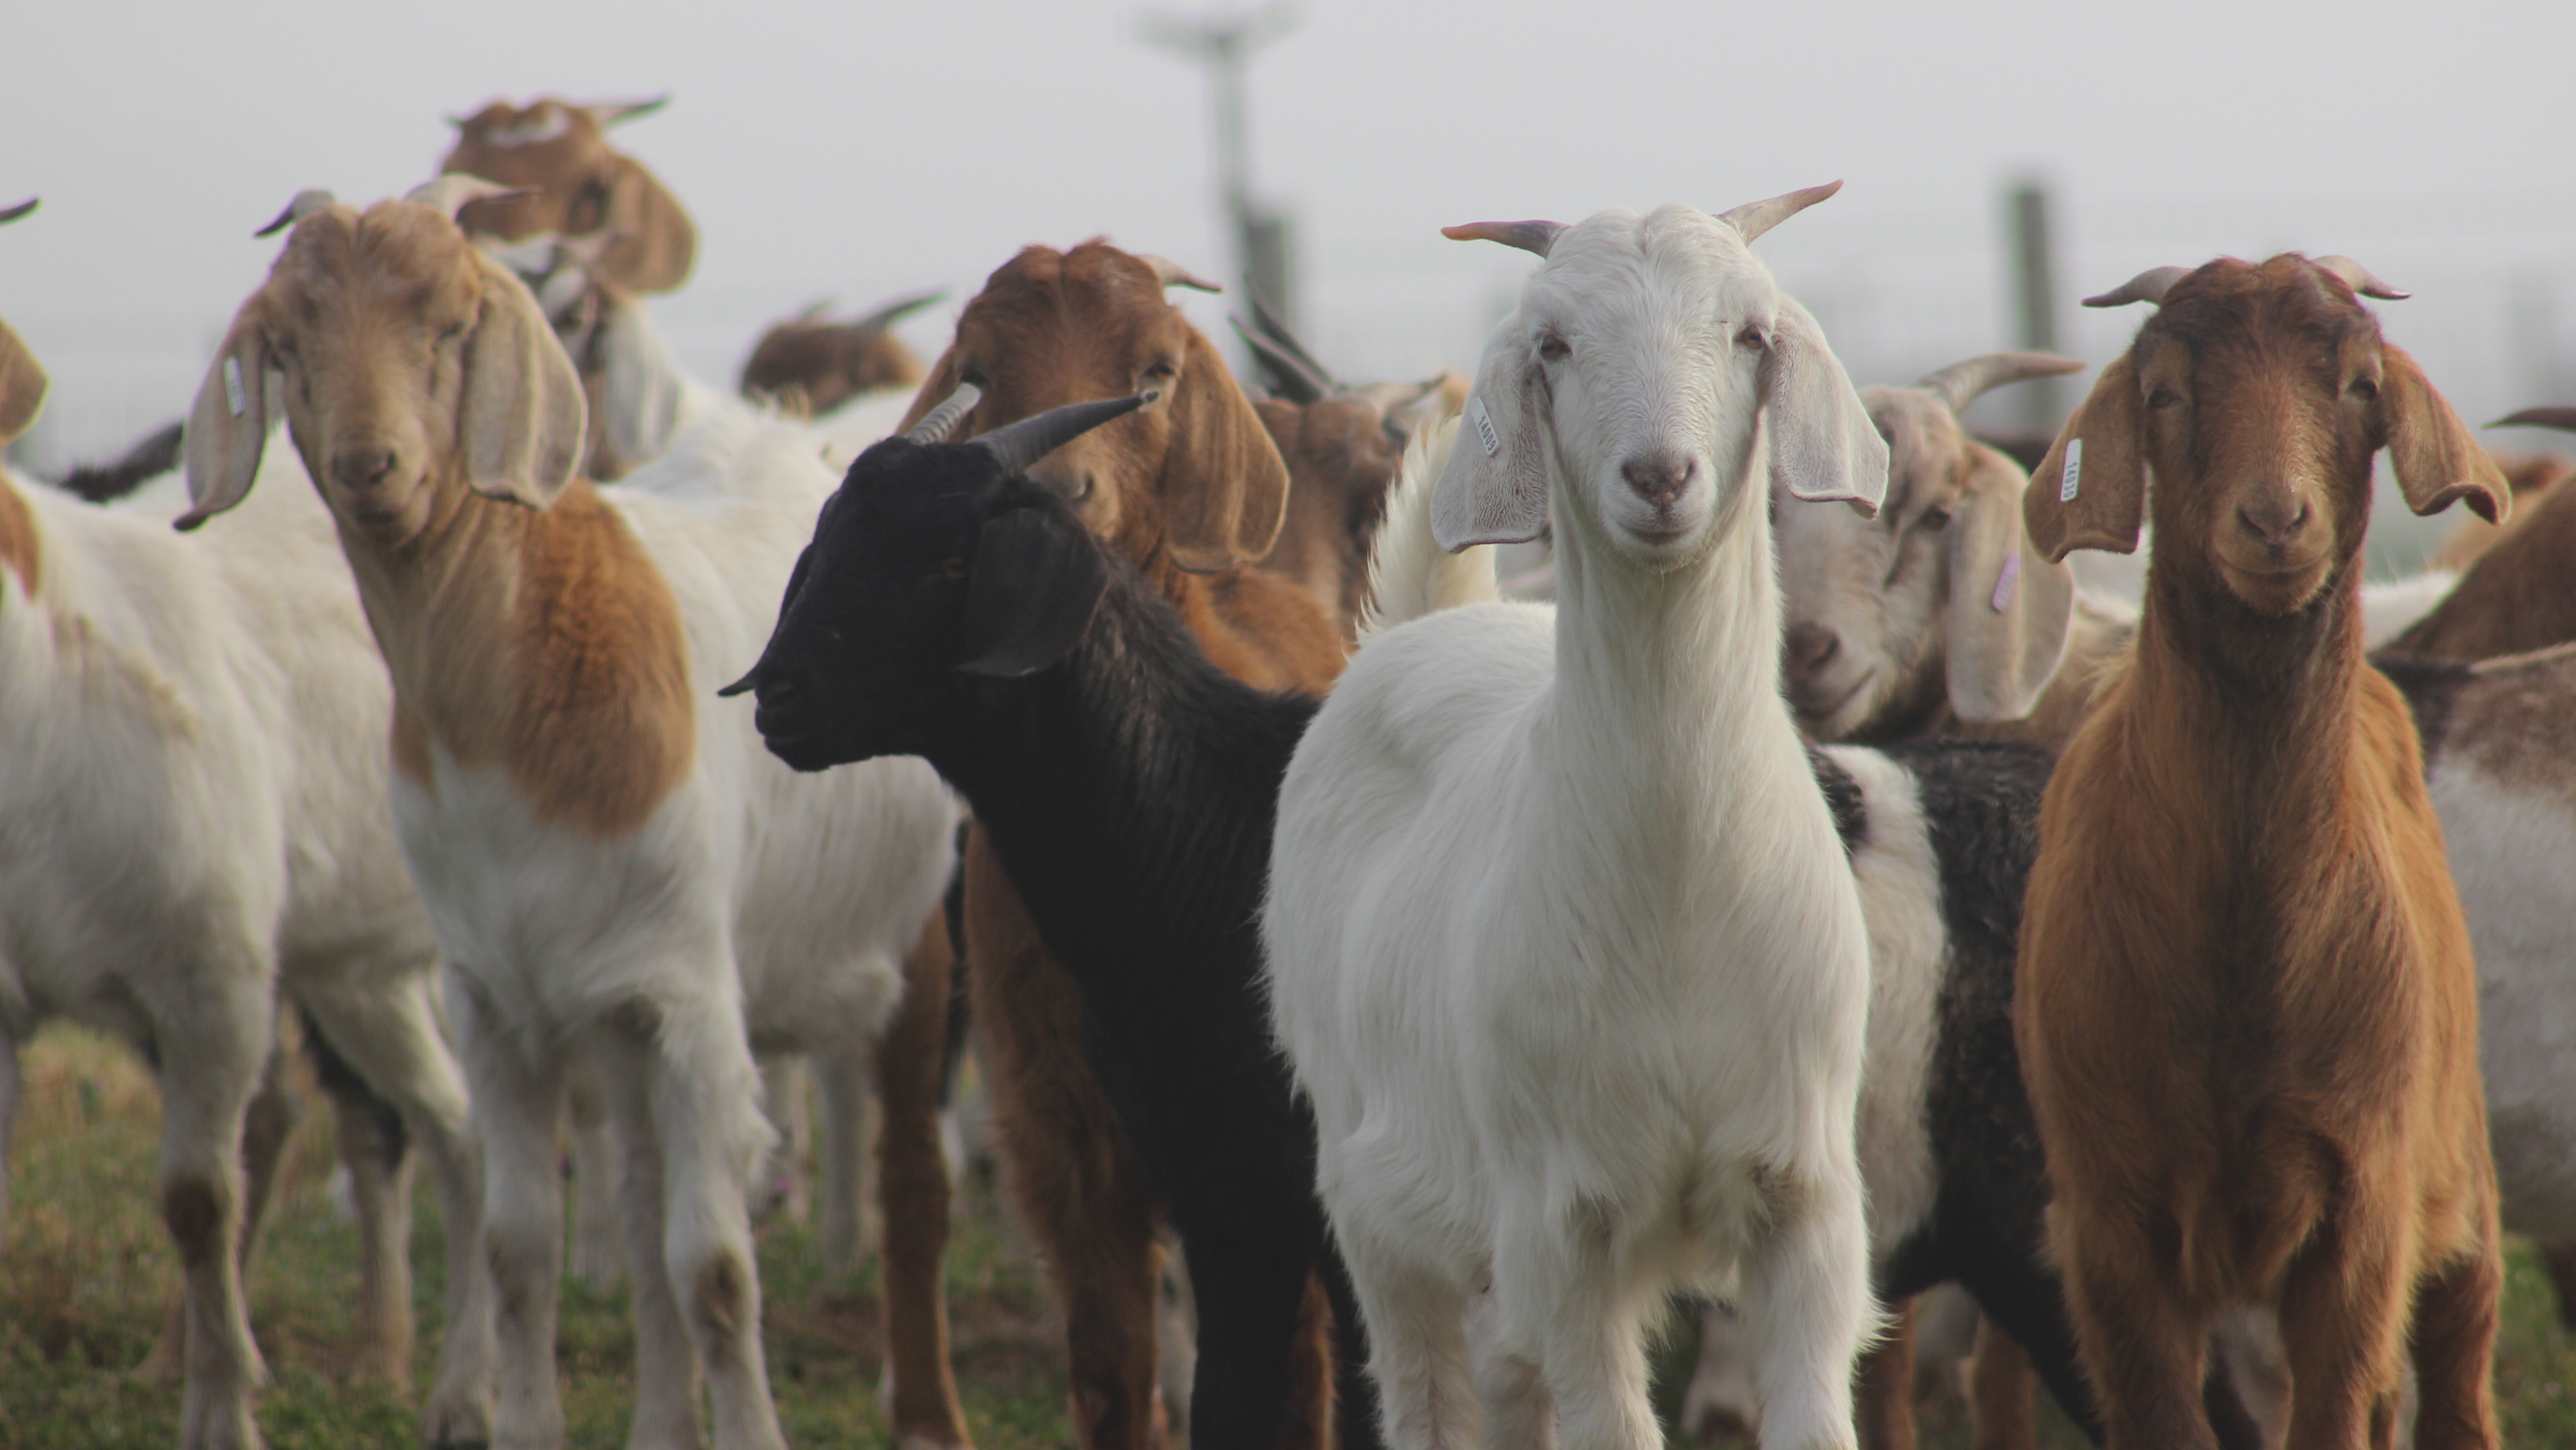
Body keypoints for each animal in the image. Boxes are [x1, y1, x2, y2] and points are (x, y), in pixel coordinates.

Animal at [0, 243, 494, 1445]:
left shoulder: (212, 975)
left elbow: (198, 1196)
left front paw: (223, 1405)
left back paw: (459, 1382)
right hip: (357, 961)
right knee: (452, 1124)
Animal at [729, 382, 1376, 1450]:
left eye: (955, 560)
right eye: (826, 545)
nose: (780, 695)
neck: (1216, 830)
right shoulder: (1225, 1199)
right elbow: (1231, 1408)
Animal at [890, 236, 1357, 1450]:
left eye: (1155, 372)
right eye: (977, 371)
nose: (1058, 496)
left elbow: (1293, 1373)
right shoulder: (1060, 1128)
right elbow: (1109, 1363)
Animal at [1262, 188, 1888, 1450]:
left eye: (1749, 333)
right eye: (1551, 345)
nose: (1659, 474)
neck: (1679, 882)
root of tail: (1418, 626)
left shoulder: (1805, 1196)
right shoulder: (1561, 1224)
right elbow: (1604, 1419)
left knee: (1506, 1380)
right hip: (1368, 1184)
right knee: (1427, 1386)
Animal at [2015, 254, 2506, 1450]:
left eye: (2359, 386)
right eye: (2162, 395)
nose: (2274, 521)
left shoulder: (2360, 1206)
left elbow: (2331, 1409)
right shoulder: (2107, 1220)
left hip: (2454, 1177)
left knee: (2453, 1376)